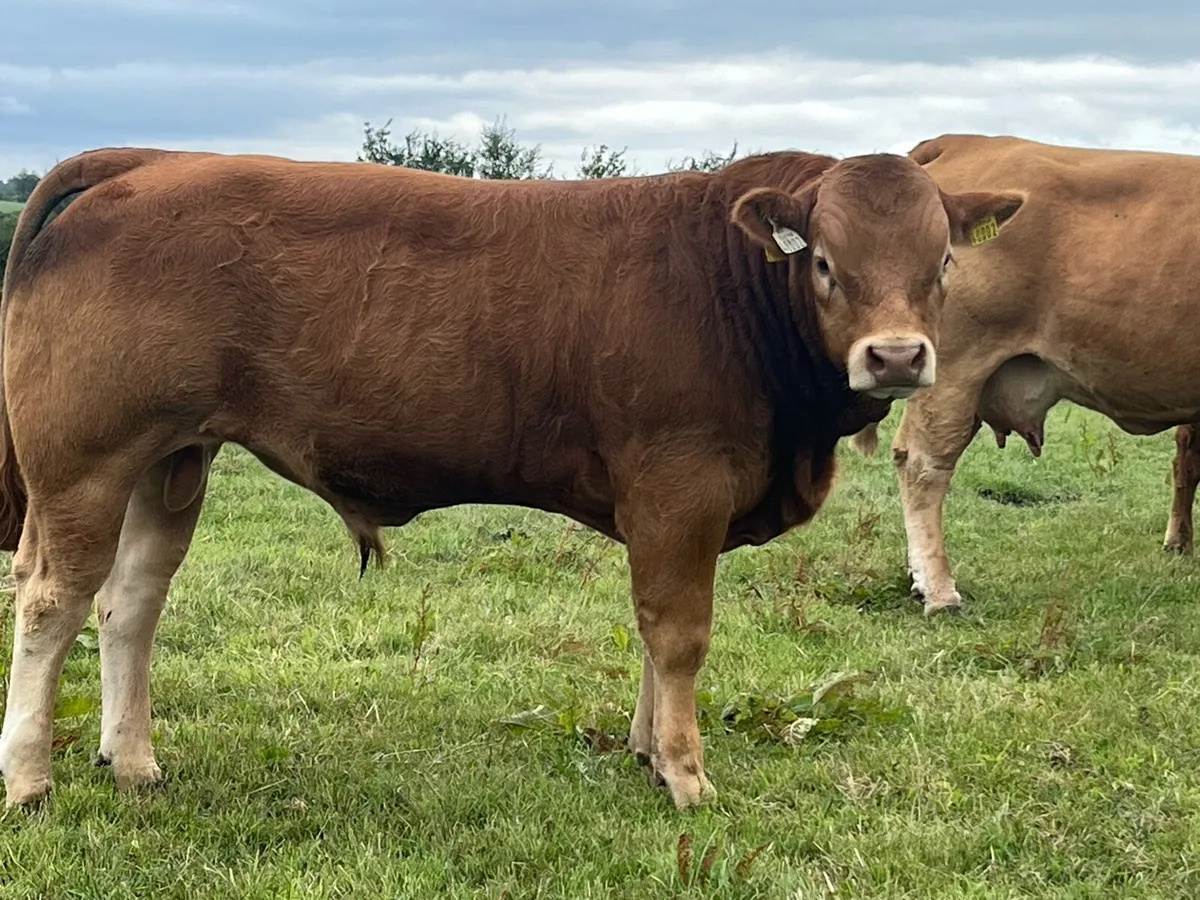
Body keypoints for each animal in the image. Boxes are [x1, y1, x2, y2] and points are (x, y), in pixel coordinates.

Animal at [0, 144, 1022, 810]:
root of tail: (148, 163)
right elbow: (679, 634)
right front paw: (687, 775)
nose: (897, 357)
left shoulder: (671, 511)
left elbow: (651, 632)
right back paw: (29, 777)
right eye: (825, 264)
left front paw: (649, 751)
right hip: (83, 463)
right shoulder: (679, 487)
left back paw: (133, 763)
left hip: (169, 459)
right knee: (51, 602)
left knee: (130, 602)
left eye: (942, 260)